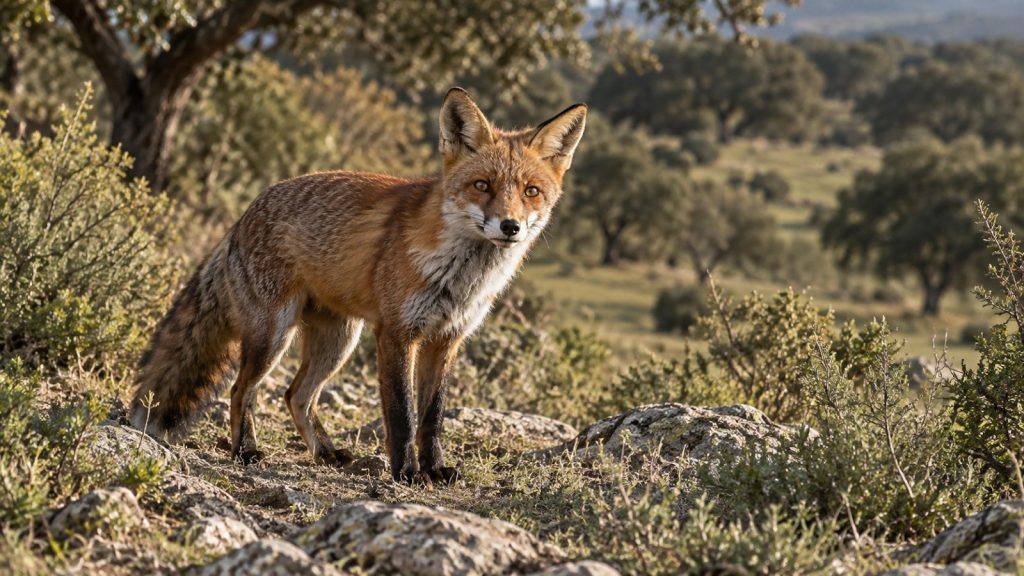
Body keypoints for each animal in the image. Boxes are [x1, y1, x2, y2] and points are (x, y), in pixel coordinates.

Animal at [130, 88, 587, 483]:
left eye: (531, 191)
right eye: (482, 186)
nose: (510, 227)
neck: (461, 277)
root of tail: (243, 215)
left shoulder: (447, 339)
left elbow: (432, 417)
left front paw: (435, 469)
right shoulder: (397, 333)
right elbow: (402, 415)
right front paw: (407, 473)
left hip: (338, 342)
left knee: (296, 395)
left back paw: (325, 452)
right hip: (273, 337)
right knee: (243, 390)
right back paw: (245, 450)